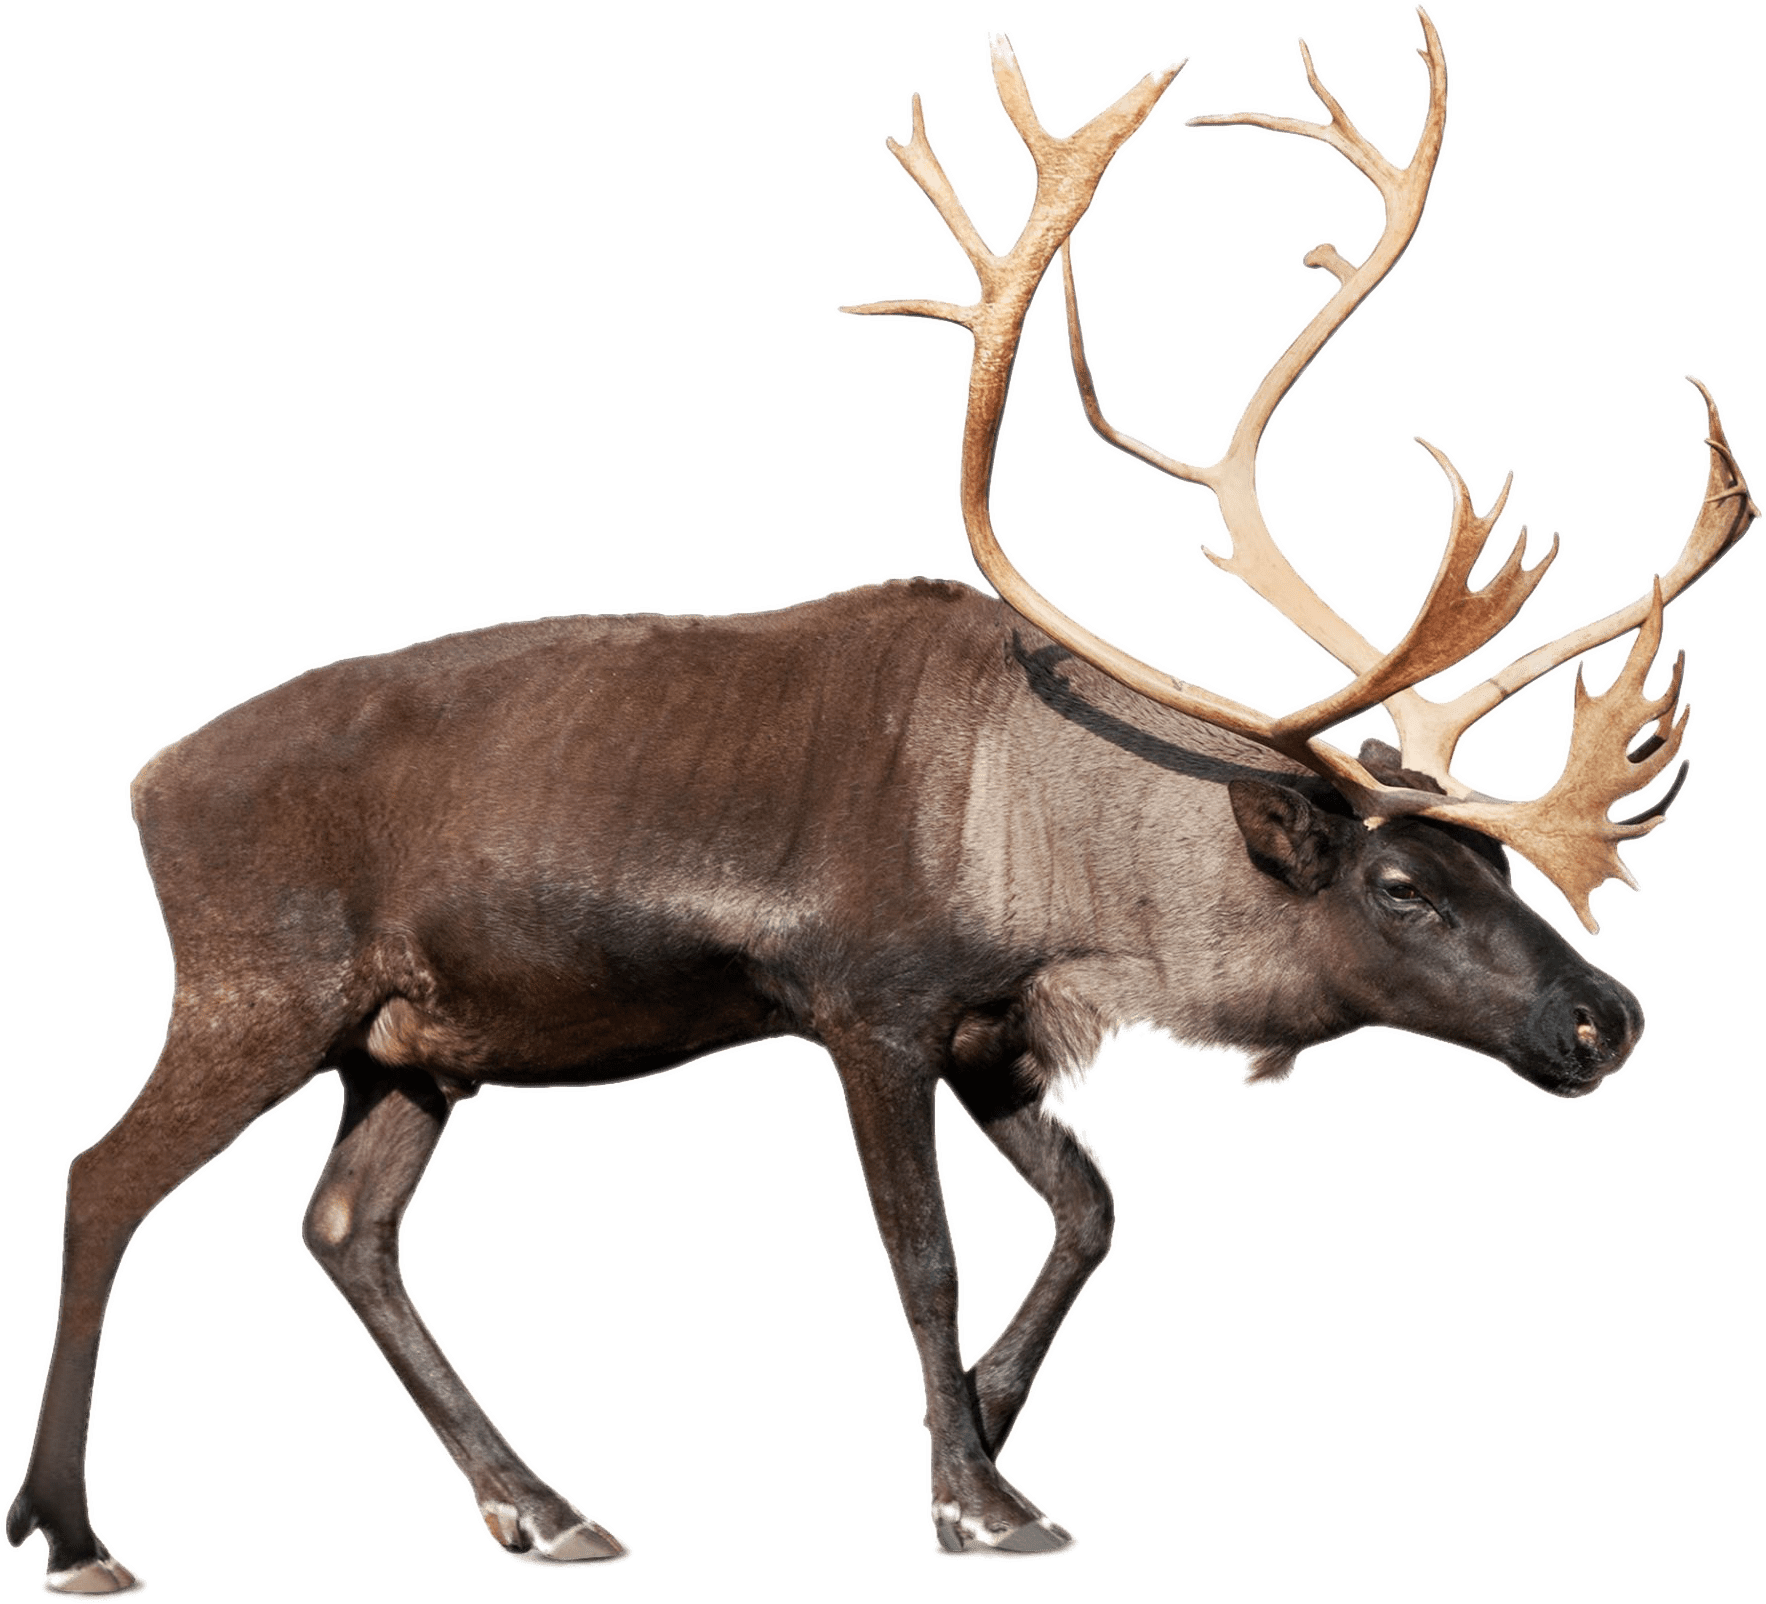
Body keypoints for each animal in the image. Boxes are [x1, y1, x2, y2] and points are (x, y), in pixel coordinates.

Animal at [6, 6, 1756, 1593]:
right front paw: (974, 1499)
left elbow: (1092, 1212)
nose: (1607, 1018)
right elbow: (924, 1255)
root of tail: (143, 778)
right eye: (1399, 886)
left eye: (1503, 873)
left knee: (346, 1230)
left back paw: (546, 1511)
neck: (1063, 858)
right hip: (257, 989)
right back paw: (75, 1536)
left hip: (416, 1047)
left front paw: (980, 1427)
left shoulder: (997, 1035)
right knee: (105, 1179)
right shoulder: (868, 1007)